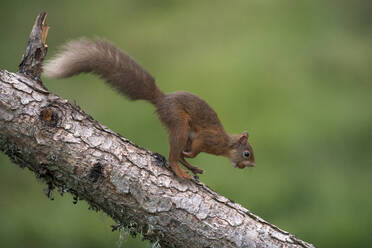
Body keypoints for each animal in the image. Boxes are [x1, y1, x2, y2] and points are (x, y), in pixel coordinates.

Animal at [42, 38, 253, 178]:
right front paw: (191, 155)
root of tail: (162, 100)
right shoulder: (207, 138)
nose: (249, 166)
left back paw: (192, 168)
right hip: (180, 124)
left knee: (177, 154)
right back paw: (182, 170)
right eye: (247, 154)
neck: (226, 144)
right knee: (173, 156)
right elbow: (196, 148)